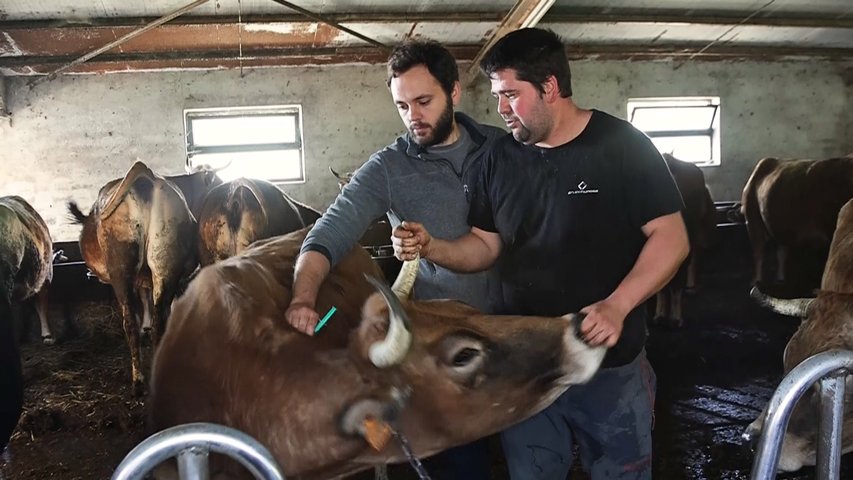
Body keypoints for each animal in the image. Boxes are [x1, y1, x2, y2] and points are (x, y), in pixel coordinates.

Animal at [68, 161, 218, 394]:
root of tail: (147, 179)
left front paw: (144, 327)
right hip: (165, 261)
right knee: (160, 319)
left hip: (122, 268)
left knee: (130, 320)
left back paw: (137, 381)